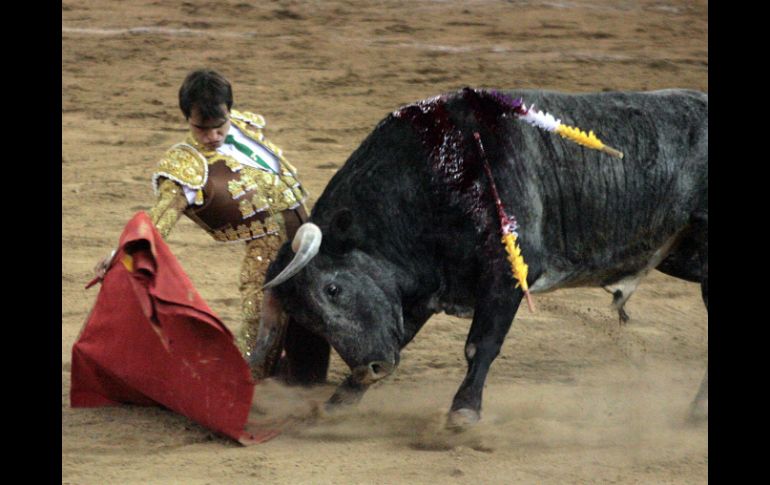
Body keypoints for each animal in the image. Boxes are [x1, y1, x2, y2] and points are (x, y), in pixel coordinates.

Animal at [254, 87, 708, 424]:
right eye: (303, 316)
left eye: (332, 289)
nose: (372, 368)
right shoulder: (418, 289)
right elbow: (401, 333)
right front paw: (339, 403)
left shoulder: (507, 275)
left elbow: (481, 345)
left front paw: (463, 413)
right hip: (683, 257)